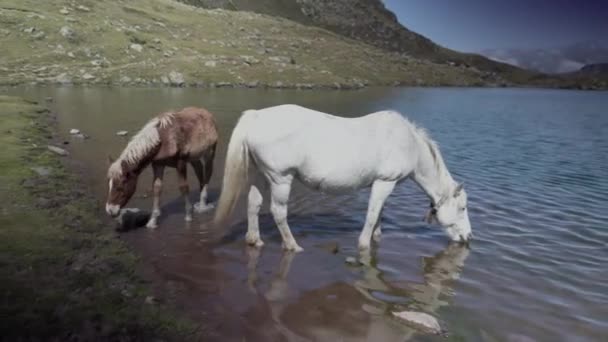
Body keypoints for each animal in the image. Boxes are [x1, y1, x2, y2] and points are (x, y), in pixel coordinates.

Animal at [216, 104, 472, 251]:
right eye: (462, 208)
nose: (468, 237)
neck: (410, 144)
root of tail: (256, 117)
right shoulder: (384, 182)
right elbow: (371, 215)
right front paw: (364, 245)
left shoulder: (383, 185)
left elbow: (379, 213)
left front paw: (377, 236)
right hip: (281, 179)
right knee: (278, 212)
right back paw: (292, 245)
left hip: (261, 174)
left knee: (253, 203)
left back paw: (254, 240)